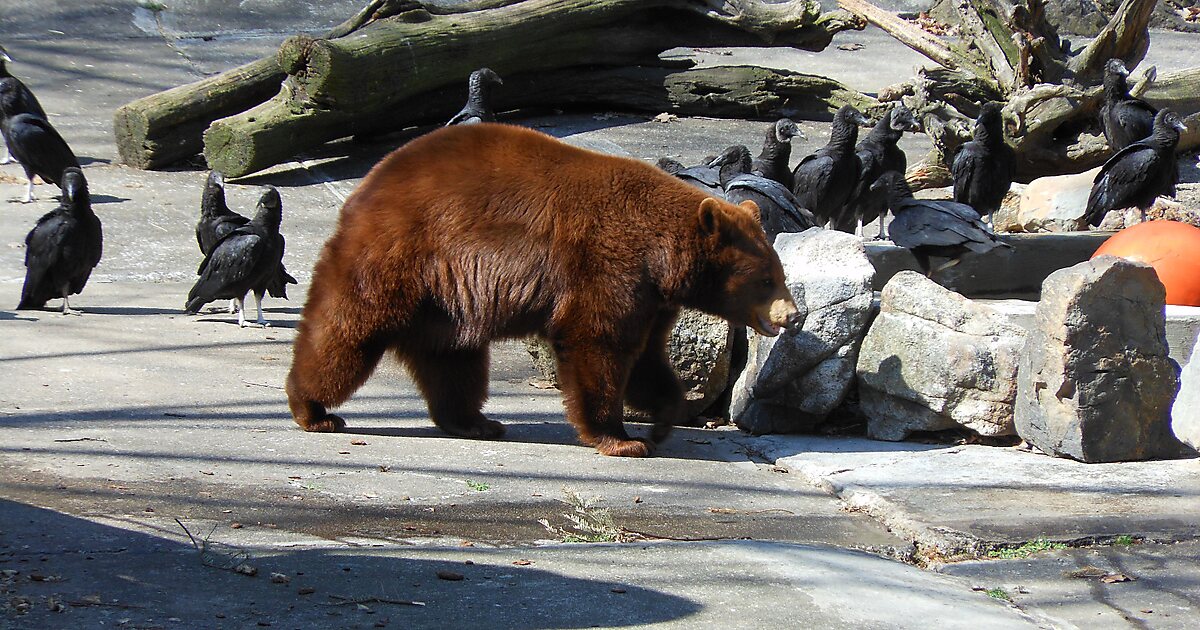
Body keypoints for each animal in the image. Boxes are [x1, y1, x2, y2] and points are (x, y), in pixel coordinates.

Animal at [286, 123, 801, 457]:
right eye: (767, 279)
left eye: (778, 272)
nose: (793, 315)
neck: (662, 254)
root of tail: (367, 187)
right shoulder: (610, 265)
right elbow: (598, 343)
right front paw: (620, 438)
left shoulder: (654, 299)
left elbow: (648, 358)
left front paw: (660, 420)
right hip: (402, 257)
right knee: (348, 332)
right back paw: (312, 409)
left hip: (445, 299)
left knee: (453, 359)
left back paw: (475, 422)